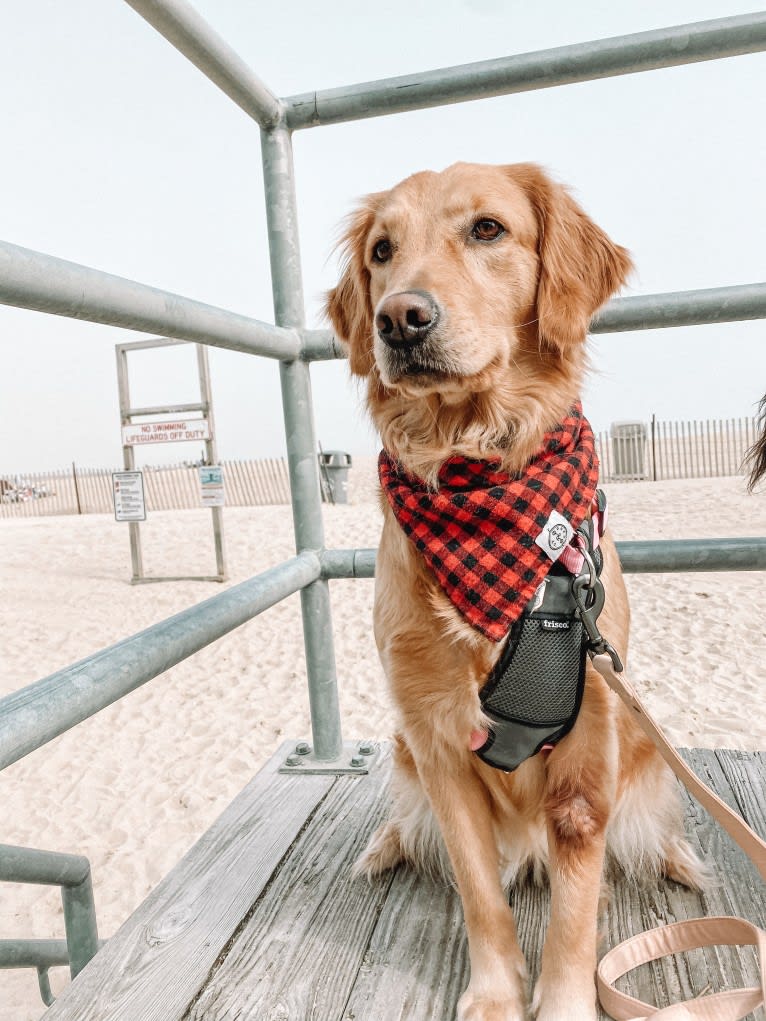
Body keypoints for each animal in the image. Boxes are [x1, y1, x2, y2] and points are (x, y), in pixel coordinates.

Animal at [324, 163, 706, 1016]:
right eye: (381, 251)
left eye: (488, 230)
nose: (399, 319)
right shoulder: (435, 734)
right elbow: (477, 890)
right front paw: (497, 995)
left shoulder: (590, 731)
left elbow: (576, 907)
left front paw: (561, 1000)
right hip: (404, 750)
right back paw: (383, 845)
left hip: (640, 739)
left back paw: (679, 856)